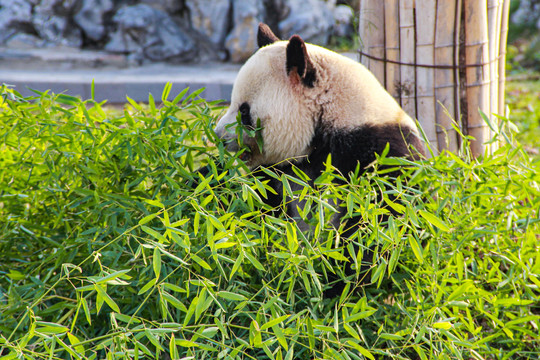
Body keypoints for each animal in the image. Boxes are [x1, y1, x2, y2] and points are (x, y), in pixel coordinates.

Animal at [213, 23, 424, 296]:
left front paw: (340, 280)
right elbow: (257, 207)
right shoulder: (279, 171)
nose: (219, 135)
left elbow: (383, 219)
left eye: (244, 111)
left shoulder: (380, 151)